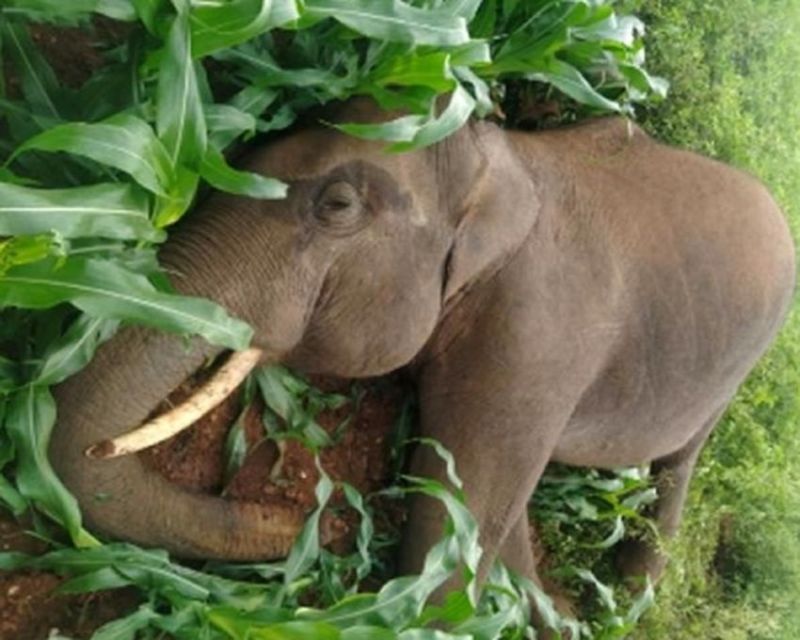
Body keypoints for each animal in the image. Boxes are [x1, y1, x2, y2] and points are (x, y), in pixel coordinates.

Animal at [49, 100, 795, 602]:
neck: (496, 165)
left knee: (679, 462)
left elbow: (447, 549)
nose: (302, 520)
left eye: (337, 205)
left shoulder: (536, 336)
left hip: (740, 365)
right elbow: (482, 510)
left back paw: (627, 597)